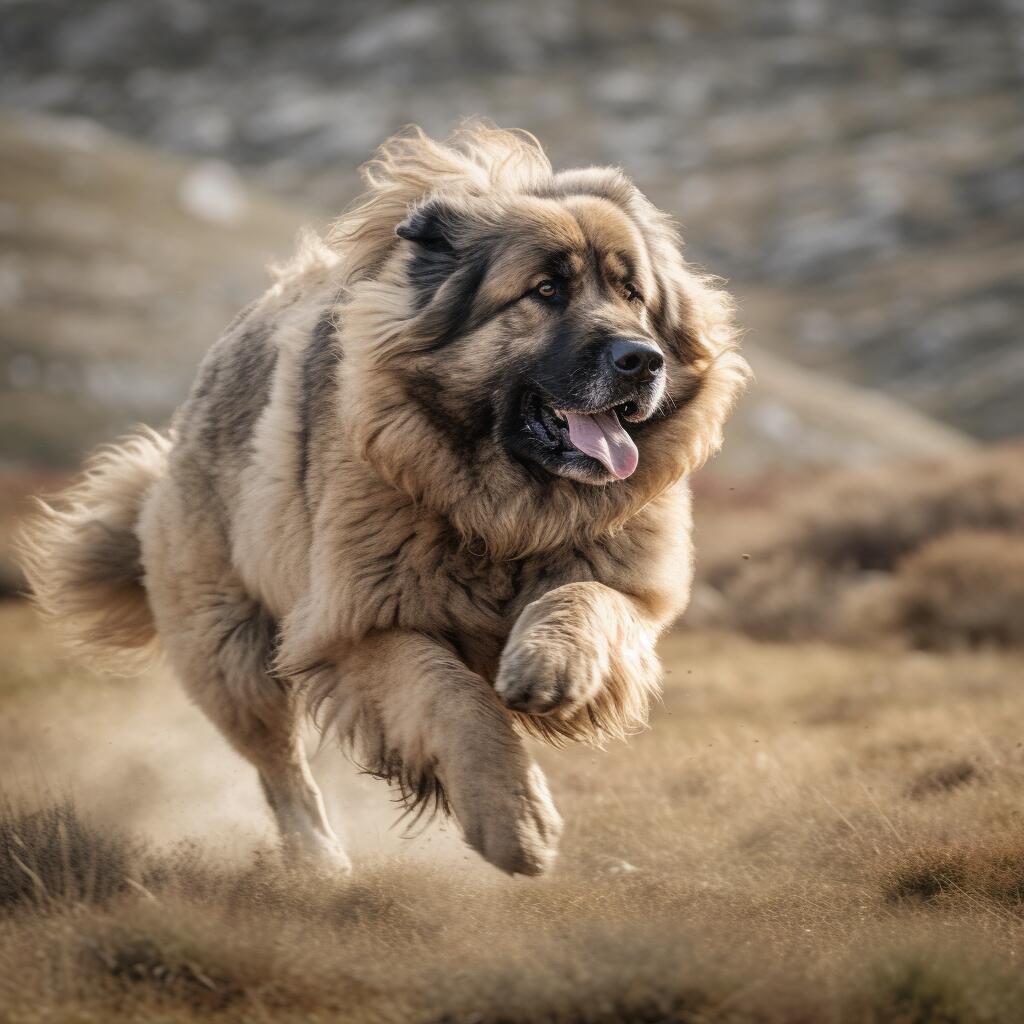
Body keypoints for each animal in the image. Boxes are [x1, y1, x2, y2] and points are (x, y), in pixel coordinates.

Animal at [19, 128, 749, 876]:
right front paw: (514, 820)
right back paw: (320, 863)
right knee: (280, 767)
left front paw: (550, 663)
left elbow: (584, 599)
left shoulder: (634, 591)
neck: (507, 514)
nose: (643, 359)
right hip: (231, 648)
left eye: (633, 293)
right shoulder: (357, 629)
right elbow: (455, 698)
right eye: (547, 290)